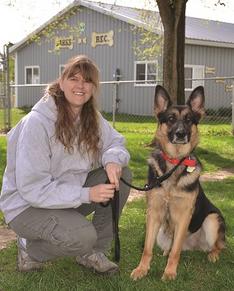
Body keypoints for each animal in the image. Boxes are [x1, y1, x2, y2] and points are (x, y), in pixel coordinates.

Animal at [131, 85, 226, 282]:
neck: (174, 162)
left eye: (189, 120)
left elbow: (176, 252)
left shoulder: (184, 216)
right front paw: (142, 269)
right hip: (162, 233)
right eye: (171, 119)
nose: (180, 134)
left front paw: (169, 272)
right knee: (172, 246)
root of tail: (194, 246)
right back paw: (166, 252)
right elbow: (147, 249)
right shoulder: (153, 213)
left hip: (212, 220)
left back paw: (213, 255)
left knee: (217, 246)